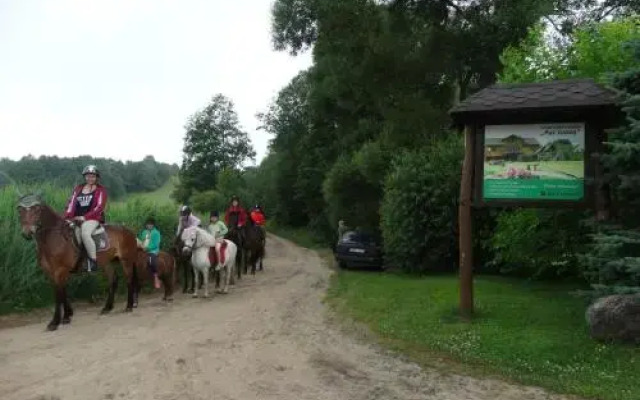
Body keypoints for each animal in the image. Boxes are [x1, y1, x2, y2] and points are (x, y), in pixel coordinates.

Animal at [16, 194, 139, 332]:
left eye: (37, 210)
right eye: (20, 211)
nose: (27, 232)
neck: (54, 239)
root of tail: (127, 230)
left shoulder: (60, 270)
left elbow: (58, 295)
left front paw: (55, 322)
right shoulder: (51, 273)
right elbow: (62, 292)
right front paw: (67, 316)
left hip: (126, 261)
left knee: (129, 280)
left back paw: (129, 306)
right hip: (107, 263)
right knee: (113, 281)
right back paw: (107, 308)